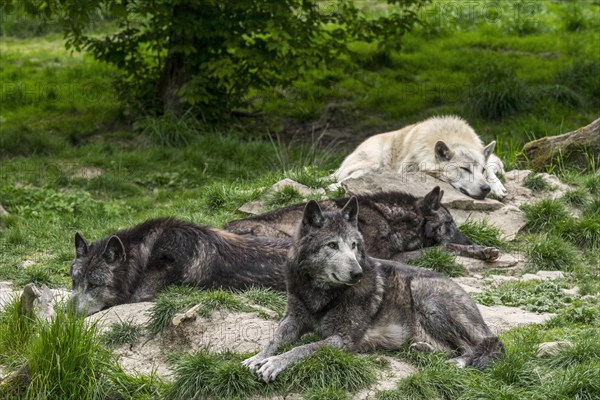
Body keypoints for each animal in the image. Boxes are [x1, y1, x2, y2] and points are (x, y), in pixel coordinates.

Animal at [244, 198, 506, 382]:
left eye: (354, 245)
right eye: (332, 245)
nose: (357, 273)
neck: (321, 293)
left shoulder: (343, 340)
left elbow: (303, 348)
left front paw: (274, 363)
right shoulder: (293, 319)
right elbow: (275, 338)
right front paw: (256, 358)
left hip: (427, 298)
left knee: (487, 344)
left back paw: (457, 363)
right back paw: (425, 350)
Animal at [332, 115, 506, 199]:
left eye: (481, 170)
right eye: (464, 169)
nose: (486, 189)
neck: (452, 136)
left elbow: (492, 167)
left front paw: (497, 186)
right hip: (372, 164)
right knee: (341, 181)